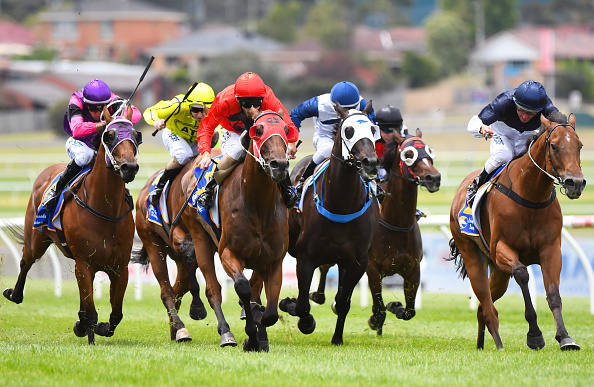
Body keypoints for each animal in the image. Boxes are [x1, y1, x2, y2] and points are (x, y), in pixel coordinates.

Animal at [4, 107, 140, 346]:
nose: (129, 167)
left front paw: (99, 327)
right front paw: (91, 335)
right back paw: (15, 294)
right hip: (37, 239)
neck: (105, 210)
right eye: (109, 135)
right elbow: (93, 312)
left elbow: (116, 314)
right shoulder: (84, 263)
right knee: (25, 261)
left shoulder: (119, 267)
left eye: (136, 135)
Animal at [180, 110, 292, 354]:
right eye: (258, 130)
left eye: (286, 130)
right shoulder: (228, 253)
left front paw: (259, 331)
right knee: (213, 290)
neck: (257, 205)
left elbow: (269, 311)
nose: (279, 165)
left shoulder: (273, 260)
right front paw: (251, 337)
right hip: (200, 237)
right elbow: (242, 287)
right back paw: (226, 333)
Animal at [278, 102, 380, 346]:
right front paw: (298, 313)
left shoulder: (358, 261)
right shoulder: (304, 256)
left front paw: (337, 338)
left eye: (372, 129)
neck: (341, 204)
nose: (370, 163)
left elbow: (342, 302)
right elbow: (302, 305)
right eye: (348, 130)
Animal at [448, 111, 584, 352]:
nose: (575, 183)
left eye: (579, 145)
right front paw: (535, 335)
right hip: (474, 257)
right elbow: (522, 274)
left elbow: (553, 294)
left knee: (483, 307)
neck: (531, 195)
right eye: (554, 146)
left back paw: (482, 344)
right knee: (487, 304)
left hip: (499, 273)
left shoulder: (550, 249)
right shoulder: (502, 248)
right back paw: (499, 344)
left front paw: (566, 338)